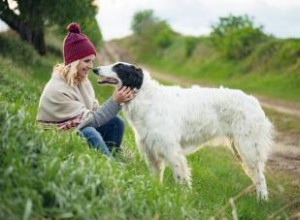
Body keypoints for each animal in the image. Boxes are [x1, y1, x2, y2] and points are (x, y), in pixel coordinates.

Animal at [93, 62, 274, 201]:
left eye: (118, 67)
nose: (95, 69)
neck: (146, 98)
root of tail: (254, 101)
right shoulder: (151, 151)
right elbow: (155, 178)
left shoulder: (172, 151)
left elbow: (181, 180)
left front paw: (184, 199)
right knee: (257, 176)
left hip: (248, 148)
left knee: (261, 177)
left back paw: (262, 200)